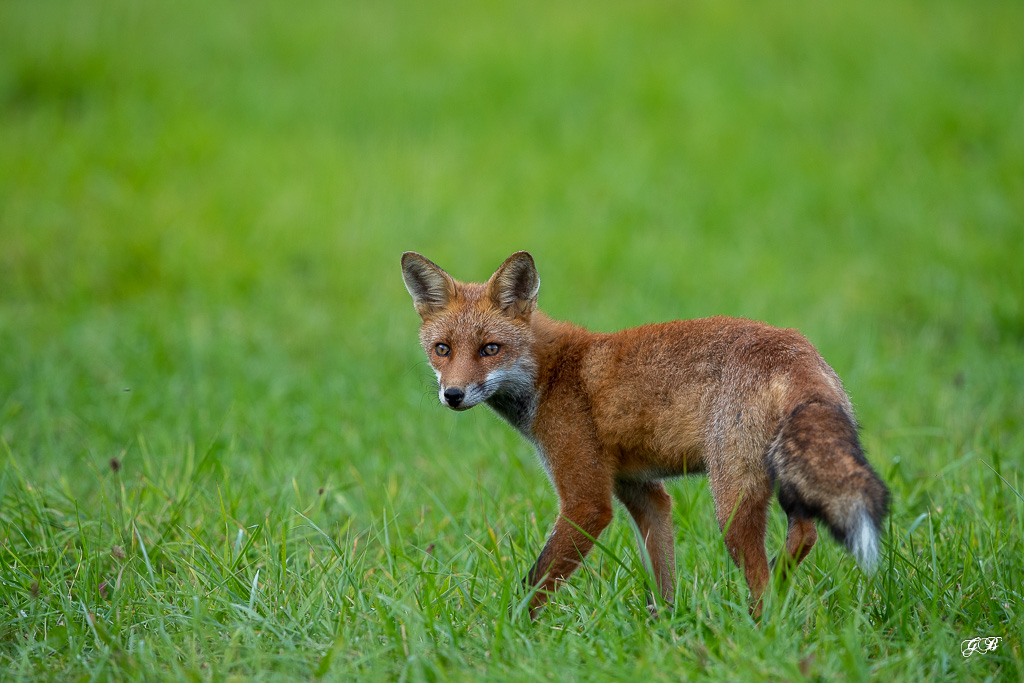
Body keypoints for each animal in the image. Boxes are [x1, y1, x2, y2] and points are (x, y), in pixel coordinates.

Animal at [399, 250, 888, 618]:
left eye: (490, 349)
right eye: (442, 349)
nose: (453, 394)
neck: (552, 374)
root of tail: (794, 348)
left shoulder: (587, 502)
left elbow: (534, 583)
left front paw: (506, 632)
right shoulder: (642, 491)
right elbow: (662, 580)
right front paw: (666, 630)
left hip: (730, 501)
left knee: (763, 575)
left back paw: (761, 625)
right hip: (784, 476)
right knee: (803, 536)